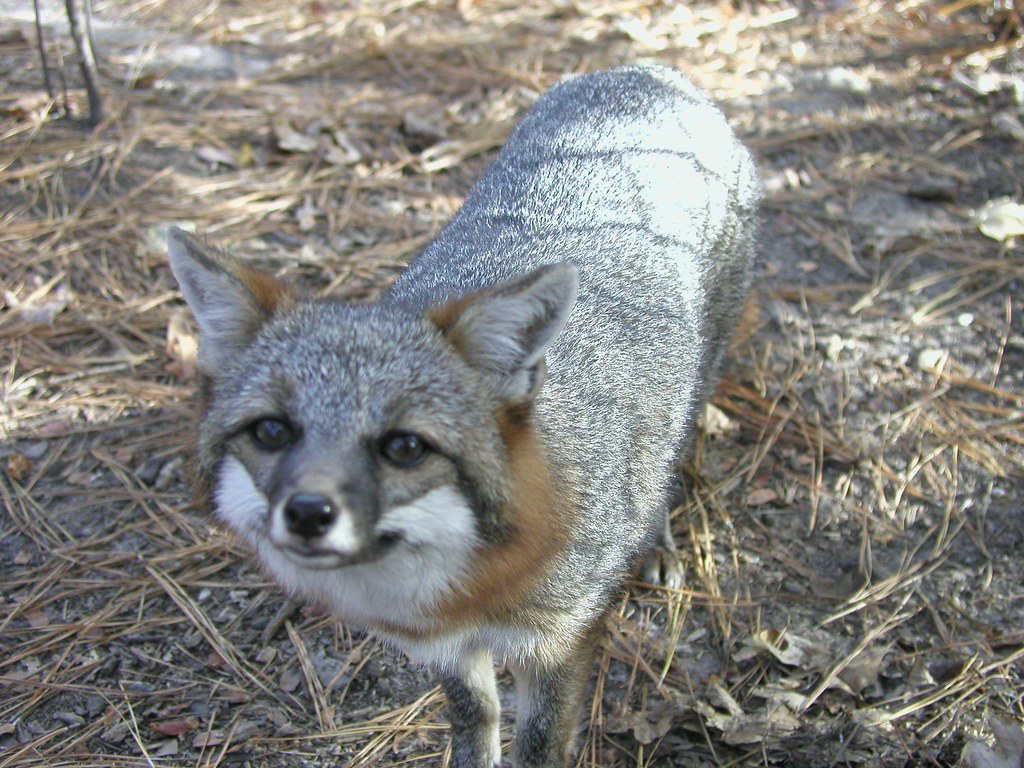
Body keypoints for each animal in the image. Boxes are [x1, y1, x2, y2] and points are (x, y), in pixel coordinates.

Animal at [167, 65, 759, 768]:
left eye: (404, 447)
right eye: (272, 432)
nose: (309, 513)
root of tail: (644, 73)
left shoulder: (559, 641)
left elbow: (538, 744)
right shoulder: (444, 647)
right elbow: (476, 716)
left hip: (697, 375)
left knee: (672, 453)